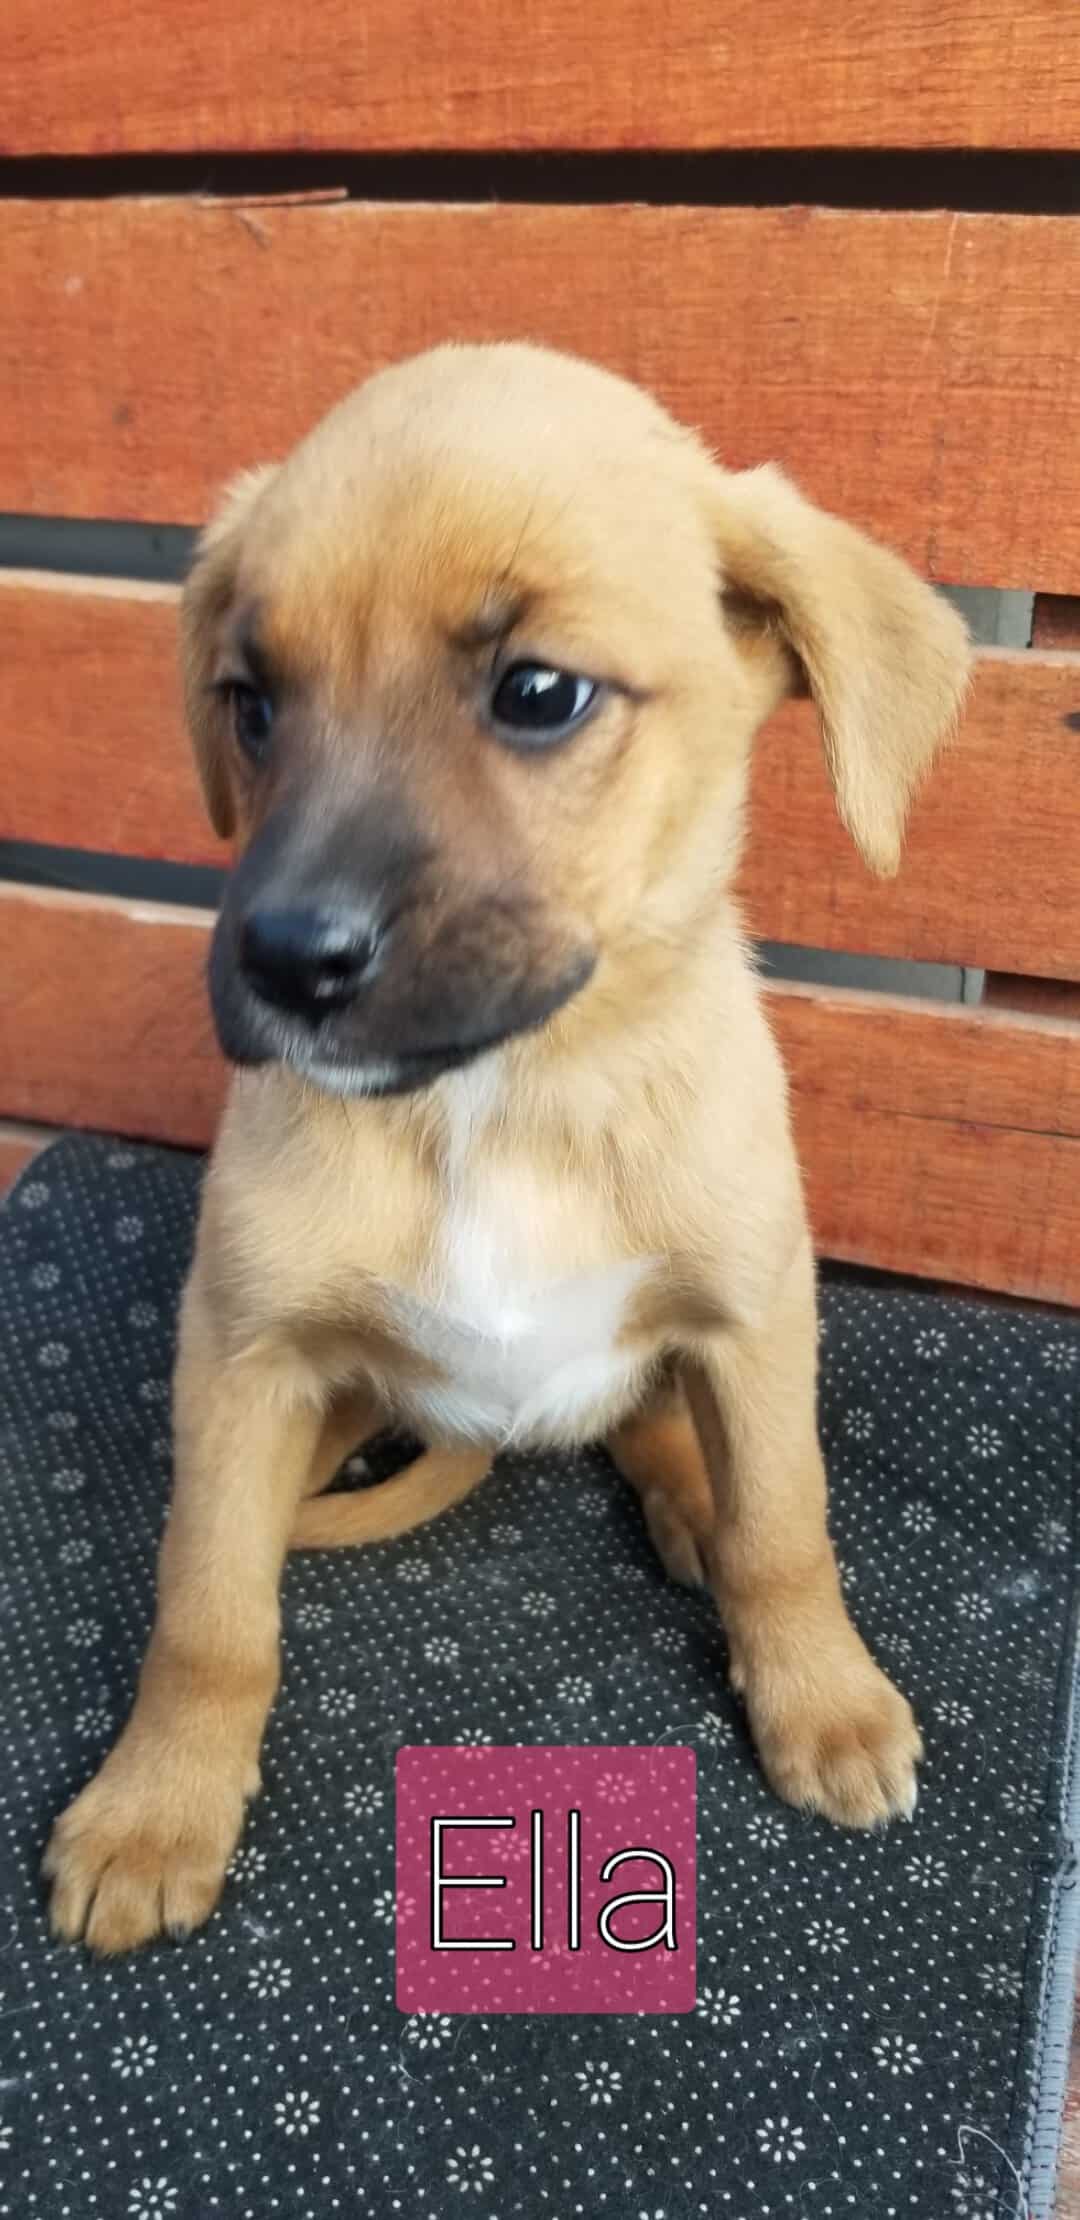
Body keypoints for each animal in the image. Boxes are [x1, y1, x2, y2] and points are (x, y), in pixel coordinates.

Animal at [42, 337, 968, 1953]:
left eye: (539, 691)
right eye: (251, 702)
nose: (285, 959)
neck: (500, 1103)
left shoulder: (752, 1315)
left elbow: (787, 1522)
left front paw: (824, 1701)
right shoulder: (239, 1355)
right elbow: (206, 1605)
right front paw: (156, 1806)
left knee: (669, 1439)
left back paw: (689, 1505)